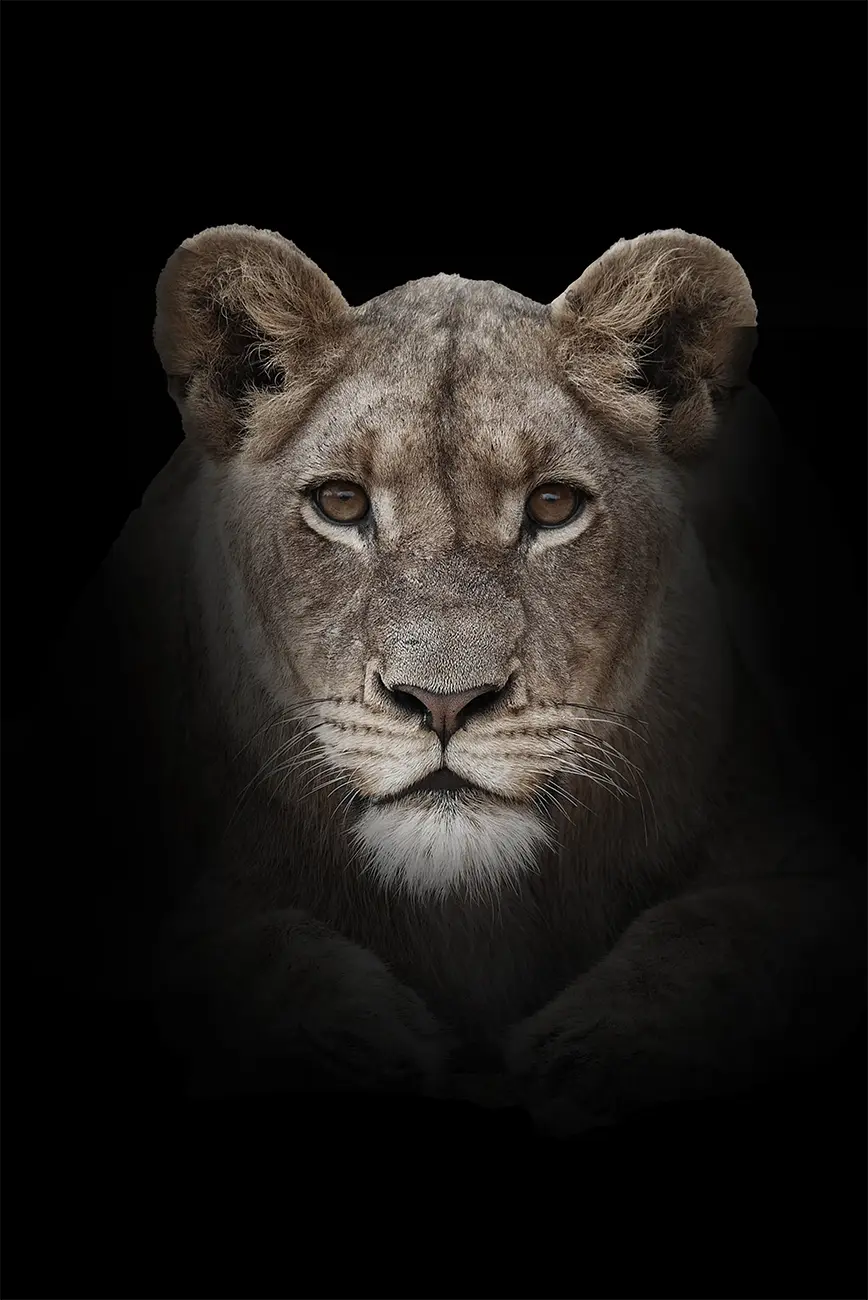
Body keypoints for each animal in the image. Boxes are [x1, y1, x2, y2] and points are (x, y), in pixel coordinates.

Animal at [60, 225, 866, 1135]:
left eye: (553, 506)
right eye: (341, 504)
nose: (444, 702)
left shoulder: (810, 871)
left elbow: (715, 936)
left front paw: (580, 1054)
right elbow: (224, 945)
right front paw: (365, 1040)